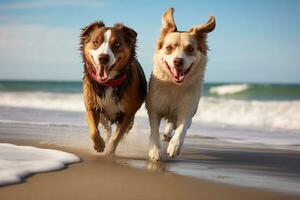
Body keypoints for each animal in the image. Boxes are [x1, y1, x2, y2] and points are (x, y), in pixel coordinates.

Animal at [79, 21, 146, 155]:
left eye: (117, 44)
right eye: (96, 42)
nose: (103, 57)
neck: (109, 83)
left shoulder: (127, 114)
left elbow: (117, 136)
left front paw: (110, 150)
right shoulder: (92, 106)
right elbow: (93, 131)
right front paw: (99, 145)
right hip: (103, 117)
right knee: (106, 128)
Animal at [146, 8, 214, 161]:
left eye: (190, 49)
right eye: (169, 48)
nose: (178, 61)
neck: (175, 85)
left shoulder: (188, 109)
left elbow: (182, 127)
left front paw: (174, 146)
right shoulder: (154, 108)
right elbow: (154, 130)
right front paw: (155, 150)